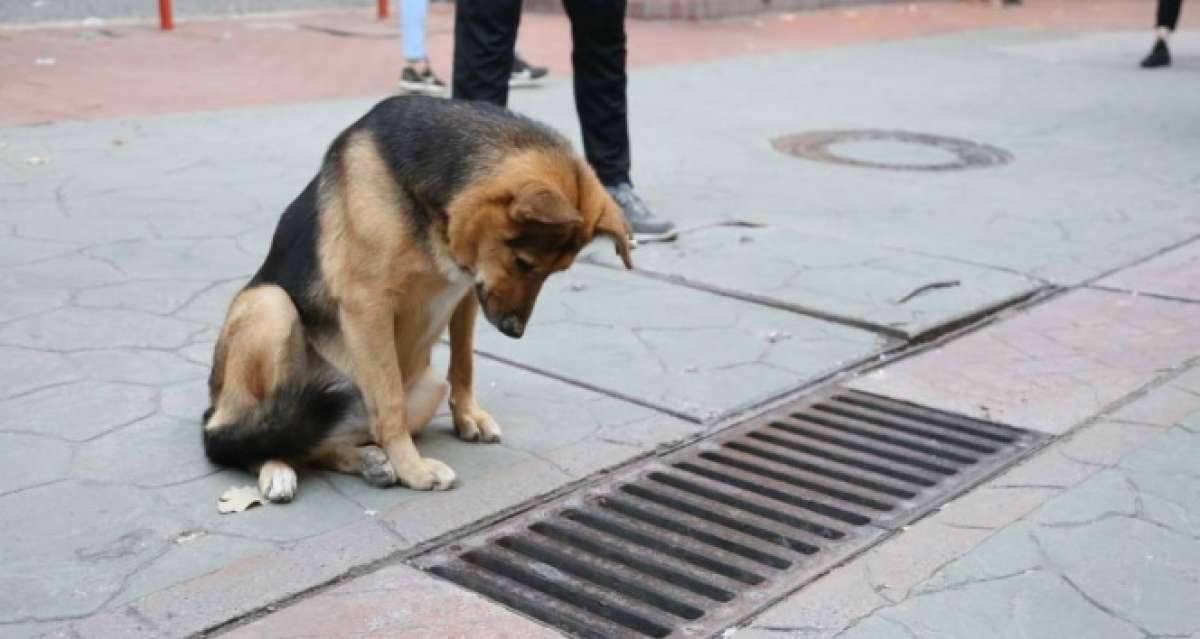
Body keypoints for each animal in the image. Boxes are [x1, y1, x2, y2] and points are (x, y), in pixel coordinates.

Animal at [201, 96, 633, 504]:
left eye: (555, 272)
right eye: (524, 263)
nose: (514, 331)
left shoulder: (467, 291)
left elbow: (463, 363)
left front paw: (468, 417)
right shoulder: (368, 303)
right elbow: (390, 403)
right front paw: (413, 470)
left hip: (424, 388)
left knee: (317, 442)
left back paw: (367, 461)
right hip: (270, 306)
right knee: (244, 438)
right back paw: (278, 467)